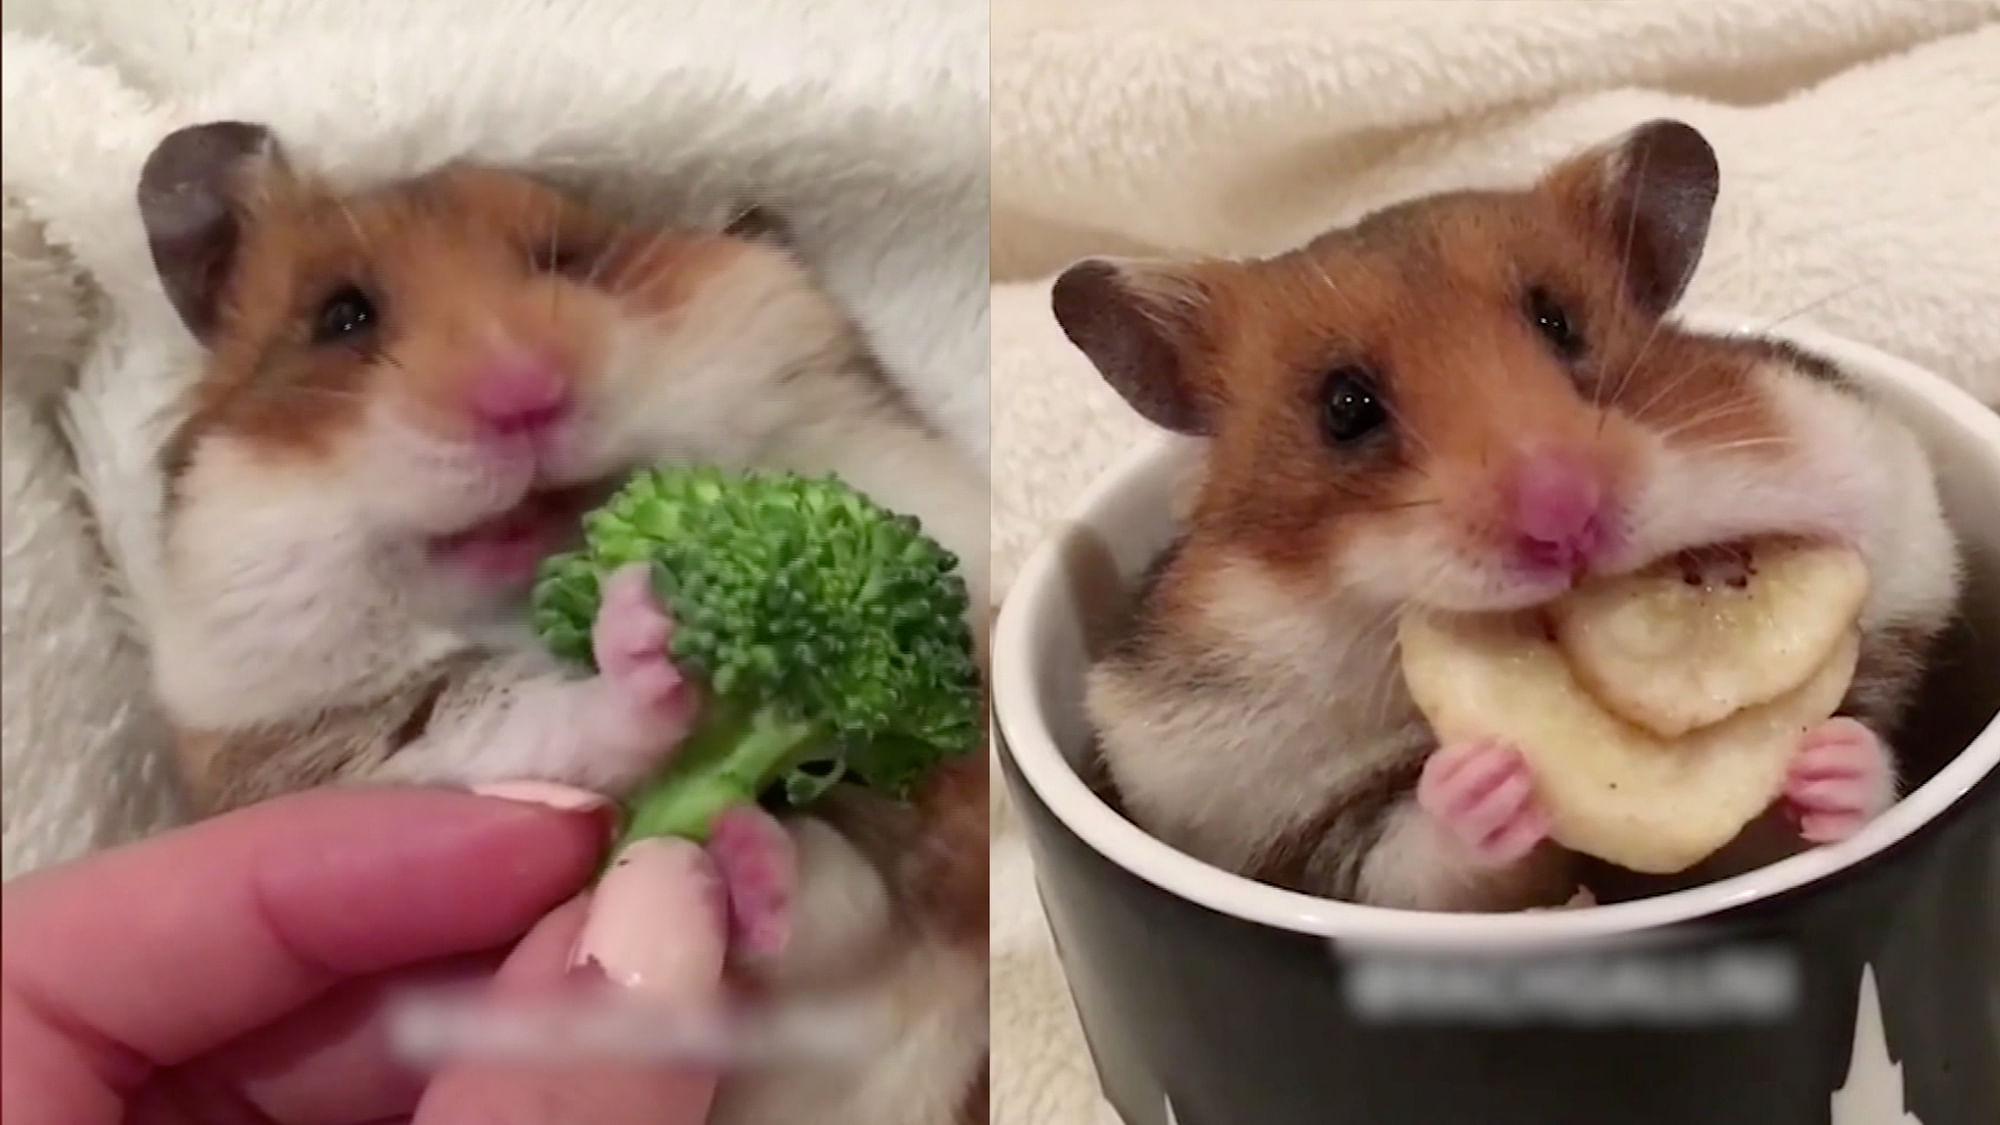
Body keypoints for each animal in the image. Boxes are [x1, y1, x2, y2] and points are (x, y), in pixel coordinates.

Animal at [133, 122, 992, 1120]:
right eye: (341, 317)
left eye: (574, 263)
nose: (525, 390)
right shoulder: (329, 769)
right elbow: (505, 723)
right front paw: (642, 633)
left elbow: (840, 904)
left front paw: (728, 850)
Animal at [1056, 118, 1960, 912]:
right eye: (1344, 407)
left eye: (1560, 321)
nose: (1564, 516)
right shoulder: (1293, 829)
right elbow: (1422, 859)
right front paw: (1483, 782)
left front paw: (1828, 762)